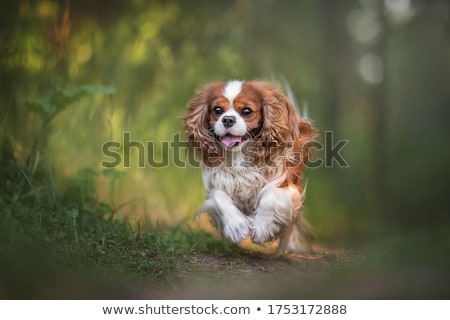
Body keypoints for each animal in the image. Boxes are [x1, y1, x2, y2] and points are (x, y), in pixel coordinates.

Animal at [183, 80, 316, 252]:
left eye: (247, 111)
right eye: (217, 110)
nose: (228, 119)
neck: (240, 156)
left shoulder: (285, 185)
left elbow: (270, 197)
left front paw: (262, 228)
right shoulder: (217, 183)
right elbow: (219, 197)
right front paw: (236, 226)